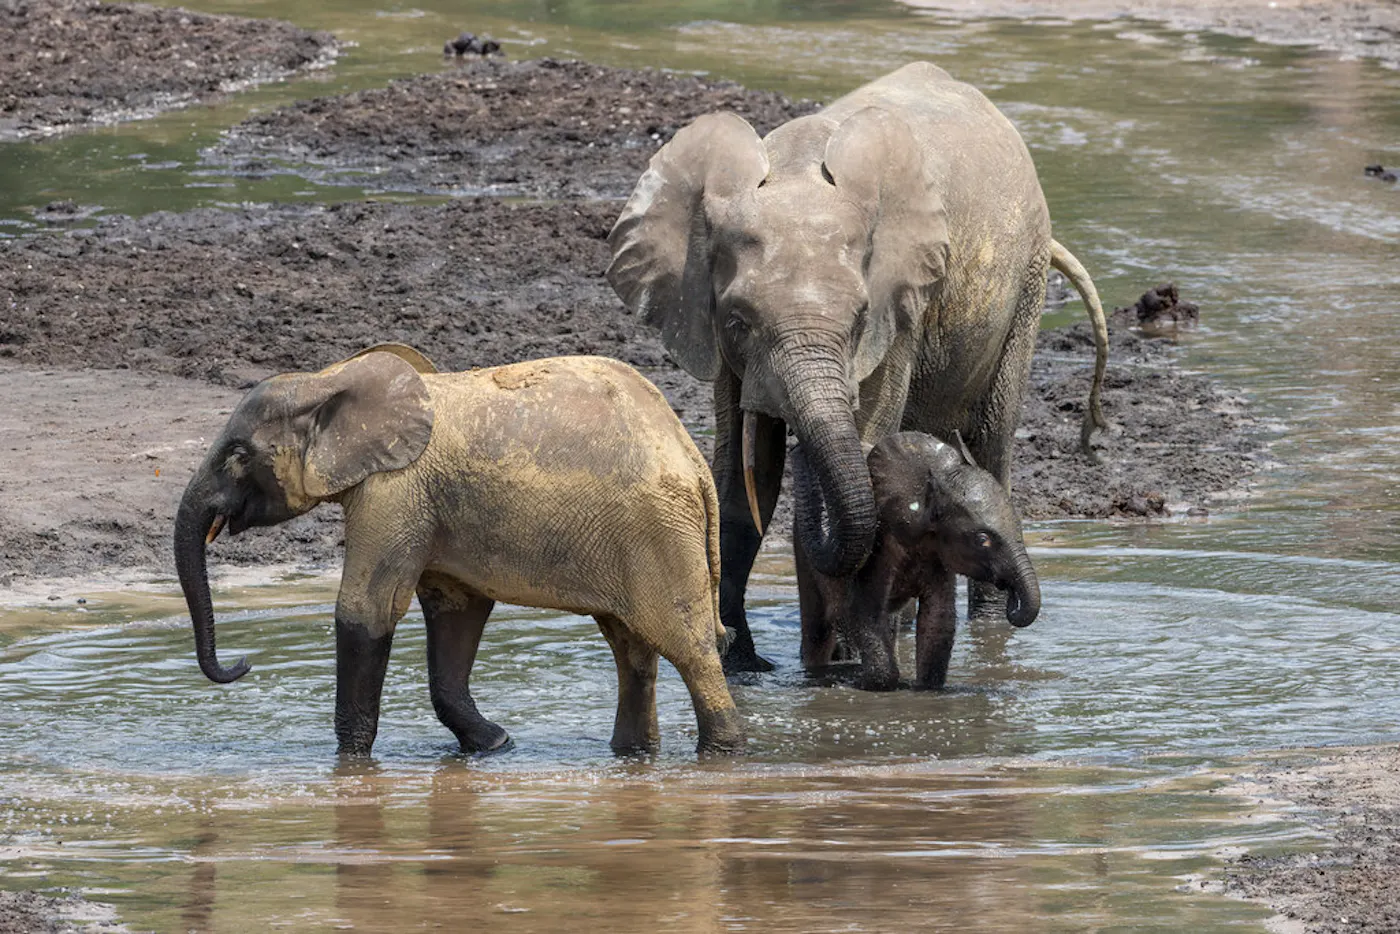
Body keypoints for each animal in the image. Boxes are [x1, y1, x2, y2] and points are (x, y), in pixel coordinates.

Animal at [173, 345, 744, 758]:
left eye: (238, 455)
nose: (243, 664)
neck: (328, 379)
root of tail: (693, 459)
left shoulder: (395, 492)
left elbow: (366, 611)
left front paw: (351, 766)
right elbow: (457, 614)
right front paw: (495, 745)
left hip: (659, 532)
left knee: (688, 649)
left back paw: (721, 755)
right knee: (633, 650)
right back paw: (633, 755)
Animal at [796, 431, 1039, 691]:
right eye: (982, 540)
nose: (1011, 598)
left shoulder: (938, 553)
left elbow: (938, 618)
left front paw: (924, 689)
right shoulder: (877, 544)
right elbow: (864, 612)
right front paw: (856, 682)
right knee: (817, 632)